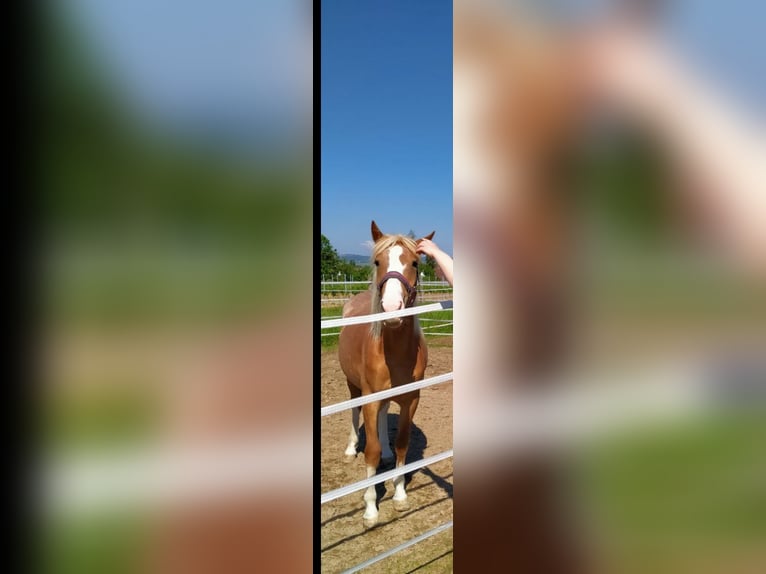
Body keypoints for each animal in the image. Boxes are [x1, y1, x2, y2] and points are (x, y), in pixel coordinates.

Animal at [342, 220, 438, 532]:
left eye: (415, 263)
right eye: (376, 262)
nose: (392, 308)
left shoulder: (410, 401)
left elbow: (402, 445)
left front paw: (399, 494)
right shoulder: (371, 398)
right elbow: (370, 452)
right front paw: (371, 508)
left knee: (384, 418)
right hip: (353, 386)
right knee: (355, 412)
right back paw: (351, 449)